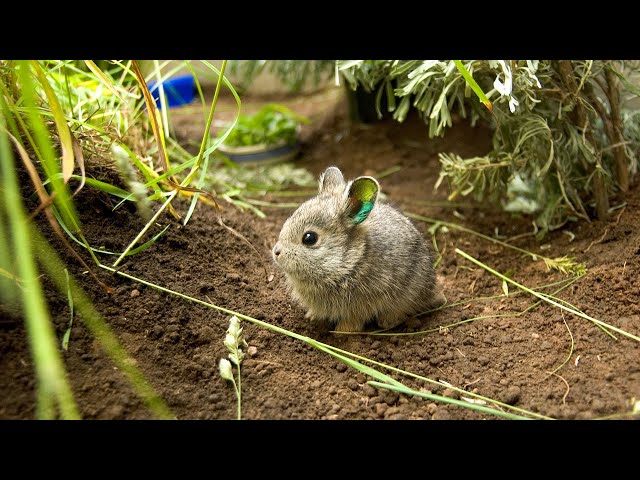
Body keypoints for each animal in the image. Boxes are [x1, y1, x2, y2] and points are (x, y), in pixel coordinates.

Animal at [272, 167, 444, 332]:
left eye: (309, 238)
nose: (276, 252)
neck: (348, 261)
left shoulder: (361, 305)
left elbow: (353, 321)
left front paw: (341, 332)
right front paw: (312, 317)